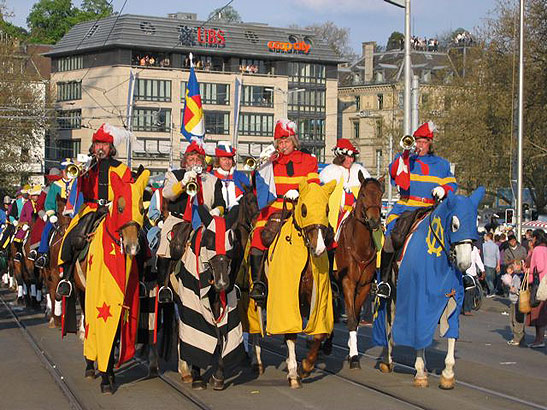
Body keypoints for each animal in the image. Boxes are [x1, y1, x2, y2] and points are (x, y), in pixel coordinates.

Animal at [264, 179, 336, 388]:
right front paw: (294, 373)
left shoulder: (318, 302)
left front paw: (306, 366)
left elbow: (319, 334)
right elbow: (290, 334)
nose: (319, 248)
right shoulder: (288, 298)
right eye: (303, 209)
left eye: (327, 209)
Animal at [332, 173, 384, 368]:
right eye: (363, 194)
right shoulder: (348, 282)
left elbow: (354, 315)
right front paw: (354, 357)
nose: (374, 220)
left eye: (380, 194)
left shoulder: (364, 286)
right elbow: (352, 318)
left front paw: (351, 351)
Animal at [374, 187, 486, 390]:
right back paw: (387, 359)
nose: (465, 264)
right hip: (392, 293)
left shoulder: (451, 298)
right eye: (455, 225)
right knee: (389, 322)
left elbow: (450, 334)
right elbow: (417, 331)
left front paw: (448, 374)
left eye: (474, 225)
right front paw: (420, 373)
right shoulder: (417, 299)